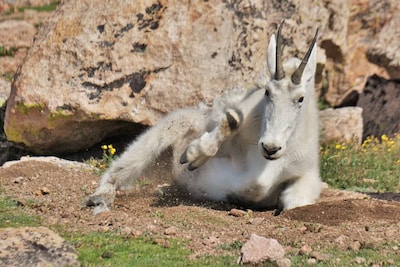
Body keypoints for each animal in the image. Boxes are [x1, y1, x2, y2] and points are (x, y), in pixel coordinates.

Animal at [86, 23, 322, 216]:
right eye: (267, 92)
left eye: (300, 98)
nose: (270, 147)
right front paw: (194, 154)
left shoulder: (306, 175)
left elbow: (284, 197)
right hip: (170, 127)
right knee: (126, 164)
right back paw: (101, 197)